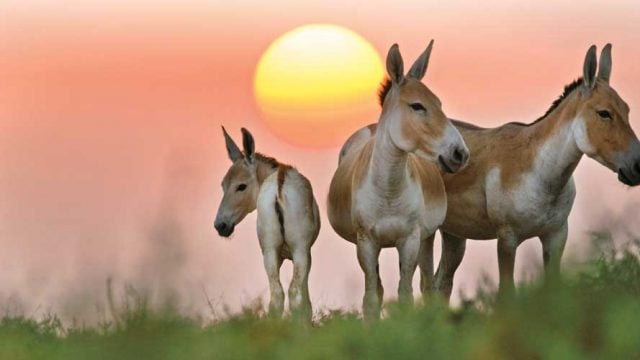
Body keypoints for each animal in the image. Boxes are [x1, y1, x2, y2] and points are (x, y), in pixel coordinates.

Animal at [214, 126, 318, 318]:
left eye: (241, 186)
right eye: (223, 186)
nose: (220, 226)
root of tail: (279, 184)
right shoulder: (306, 252)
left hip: (269, 252)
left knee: (277, 295)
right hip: (298, 250)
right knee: (294, 292)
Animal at [328, 42, 468, 320]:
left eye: (439, 103)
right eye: (417, 106)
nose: (460, 153)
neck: (388, 191)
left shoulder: (410, 239)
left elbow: (406, 295)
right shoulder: (366, 242)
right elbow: (371, 297)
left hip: (426, 238)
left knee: (427, 284)